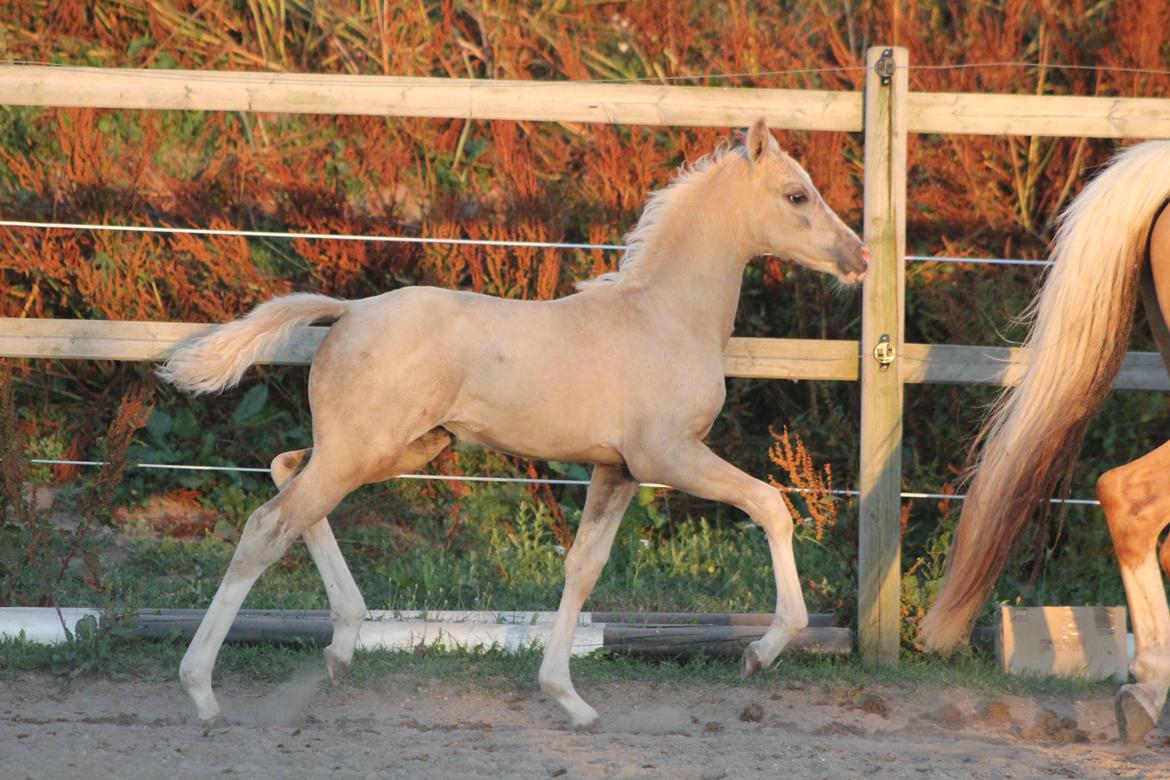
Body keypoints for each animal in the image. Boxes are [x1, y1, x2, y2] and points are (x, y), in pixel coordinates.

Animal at [155, 119, 870, 729]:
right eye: (797, 194)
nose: (859, 258)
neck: (663, 317)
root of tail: (349, 311)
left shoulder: (617, 470)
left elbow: (584, 566)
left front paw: (568, 698)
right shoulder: (668, 455)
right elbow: (771, 504)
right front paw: (759, 652)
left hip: (396, 449)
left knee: (286, 475)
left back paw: (342, 643)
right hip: (364, 451)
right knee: (266, 527)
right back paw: (202, 690)